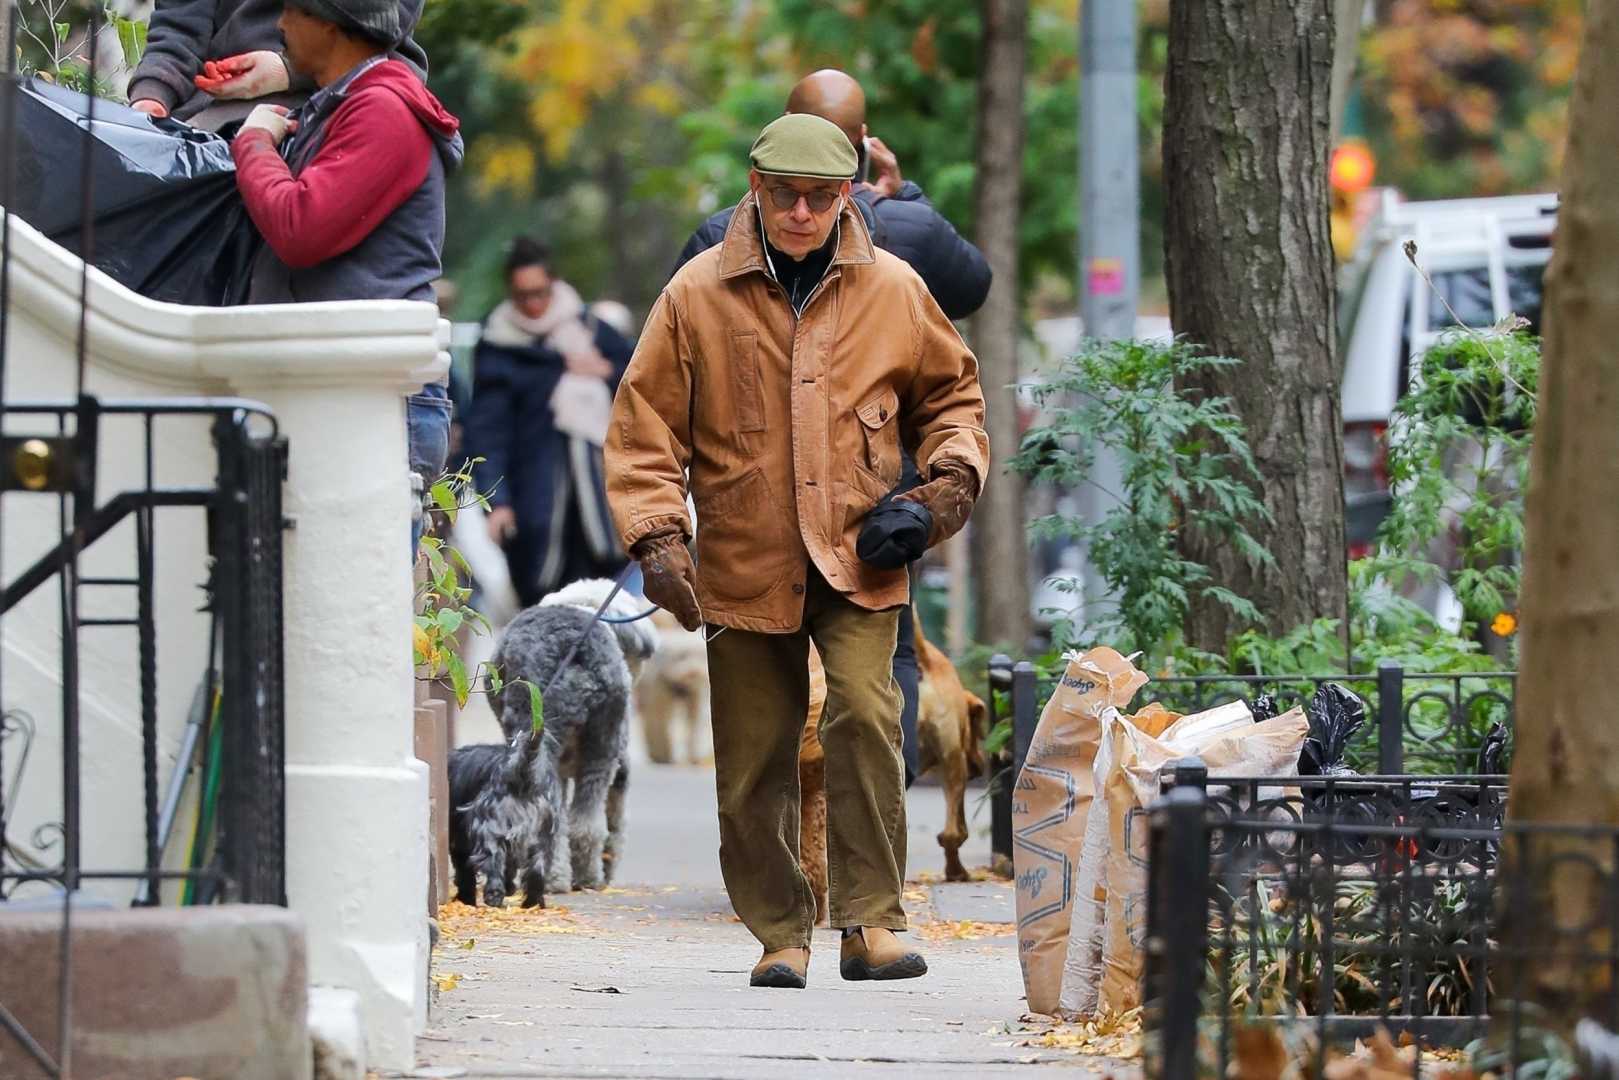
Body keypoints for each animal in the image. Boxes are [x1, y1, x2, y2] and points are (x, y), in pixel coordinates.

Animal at [446, 579, 654, 906]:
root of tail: (577, 646)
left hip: (554, 740)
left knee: (555, 828)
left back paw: (558, 879)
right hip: (601, 743)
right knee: (584, 825)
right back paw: (582, 878)